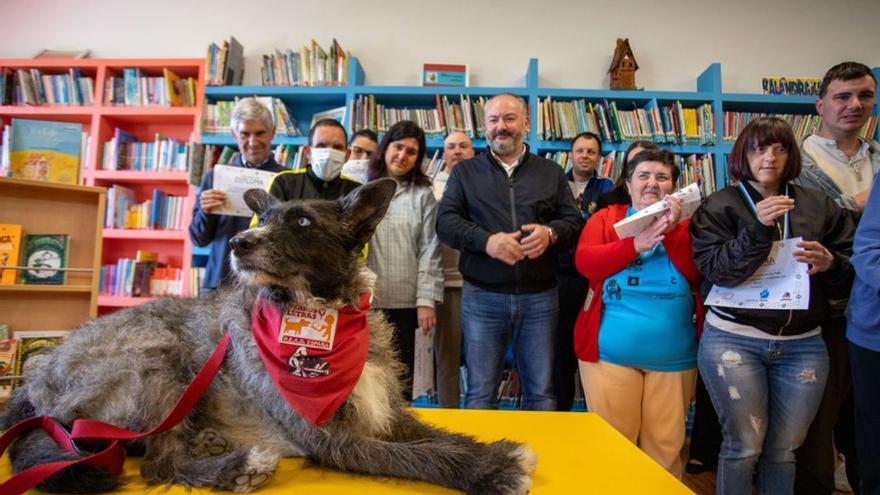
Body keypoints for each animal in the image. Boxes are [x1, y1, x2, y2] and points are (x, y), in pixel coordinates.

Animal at [1, 179, 536, 495]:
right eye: (262, 220)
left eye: (301, 220)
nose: (239, 243)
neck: (322, 313)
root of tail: (35, 377)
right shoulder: (334, 439)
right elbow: (418, 457)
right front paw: (492, 472)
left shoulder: (383, 413)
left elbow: (438, 437)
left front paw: (492, 452)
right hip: (156, 357)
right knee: (158, 462)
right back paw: (236, 467)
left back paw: (213, 442)